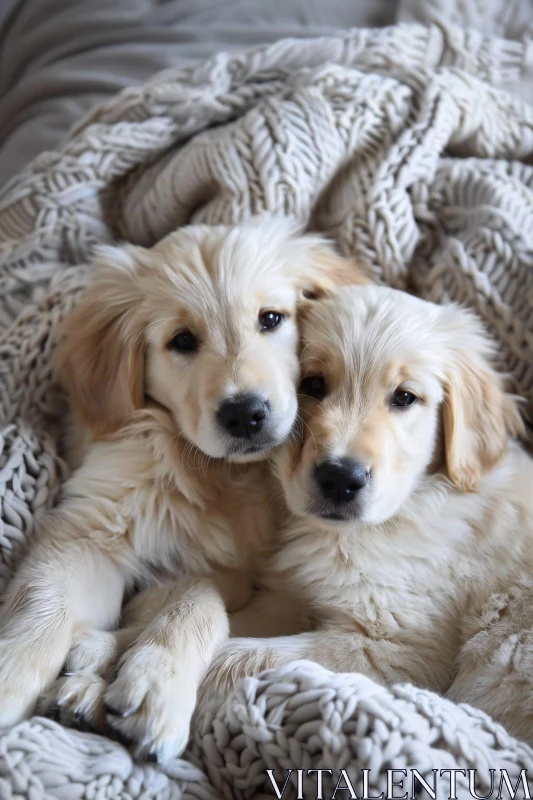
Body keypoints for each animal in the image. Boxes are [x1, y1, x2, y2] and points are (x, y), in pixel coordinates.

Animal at [0, 216, 364, 760]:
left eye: (271, 319)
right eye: (182, 341)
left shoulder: (267, 584)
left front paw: (156, 682)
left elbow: (202, 592)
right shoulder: (94, 526)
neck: (228, 475)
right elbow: (44, 602)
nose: (245, 414)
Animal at [201, 284, 533, 740]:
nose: (340, 479)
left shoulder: (396, 645)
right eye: (313, 383)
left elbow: (241, 659)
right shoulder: (289, 594)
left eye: (405, 397)